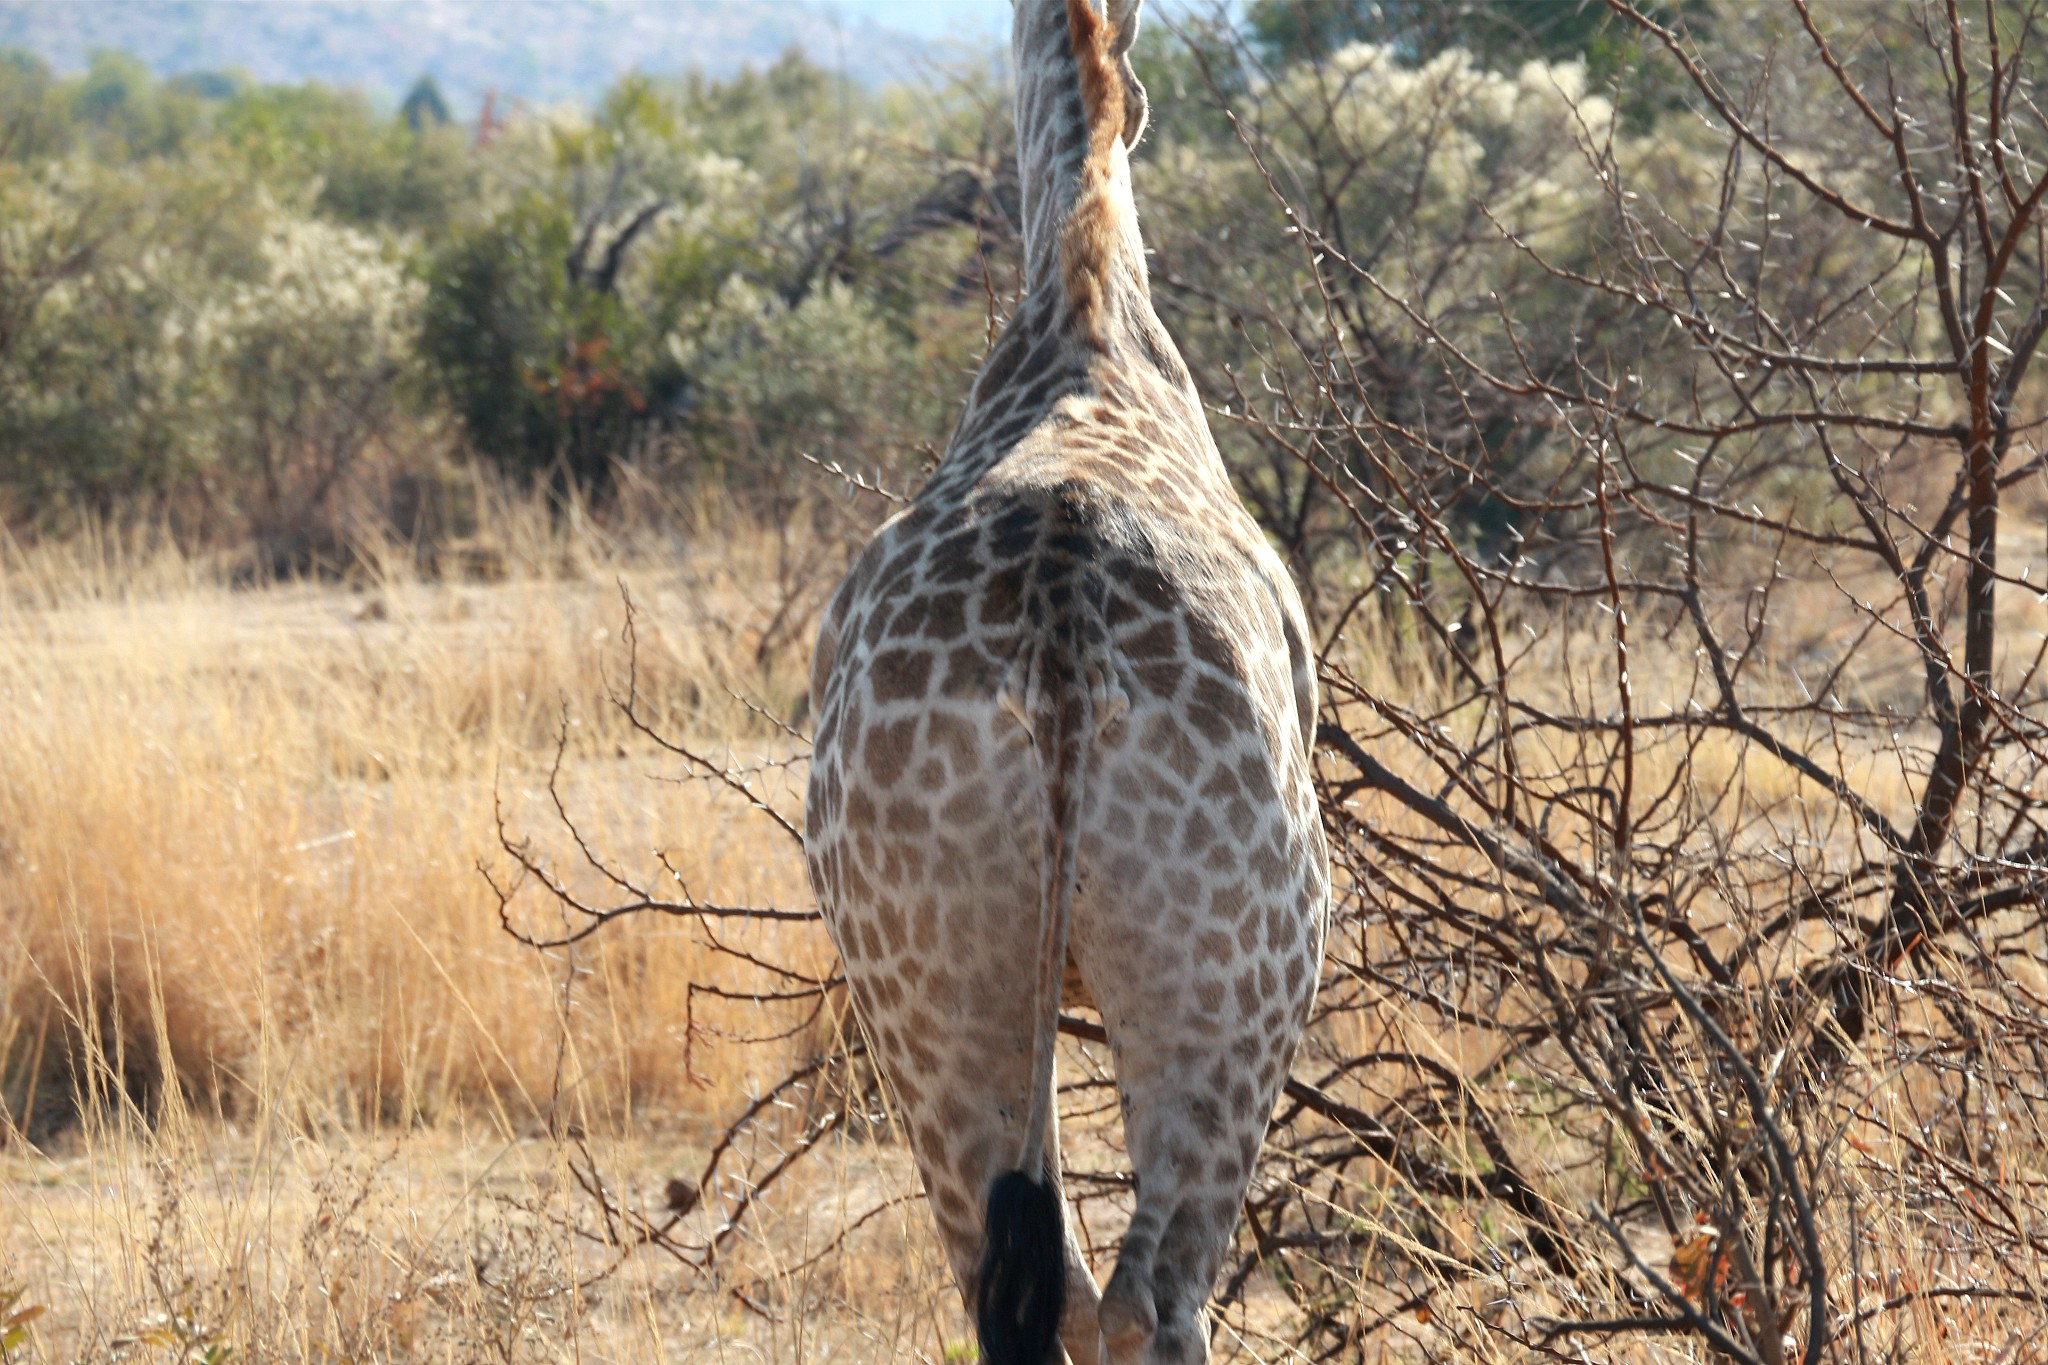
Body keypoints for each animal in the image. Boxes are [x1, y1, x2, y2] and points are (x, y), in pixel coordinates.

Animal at [798, 5, 1327, 1358]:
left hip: (923, 985)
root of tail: (1060, 642)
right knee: (1153, 1294)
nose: (1136, 104)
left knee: (1035, 1291)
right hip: (1250, 979)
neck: (1084, 305)